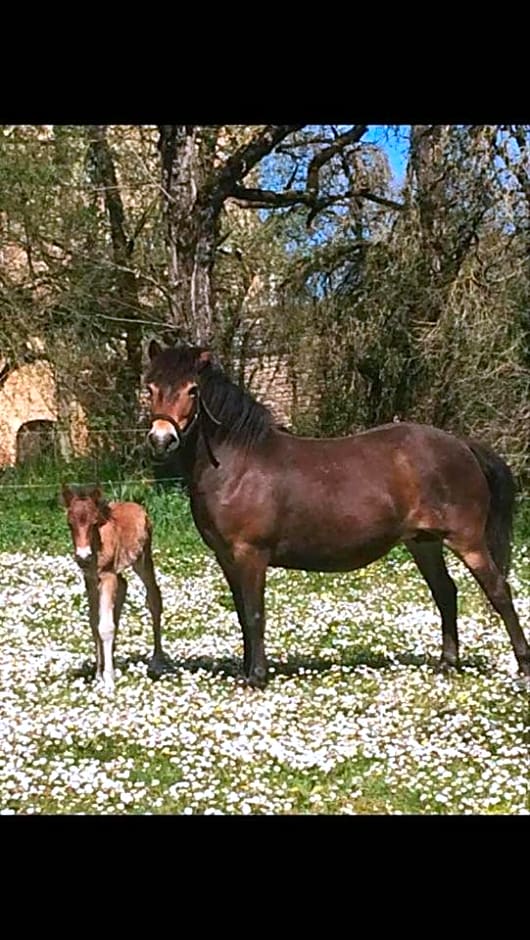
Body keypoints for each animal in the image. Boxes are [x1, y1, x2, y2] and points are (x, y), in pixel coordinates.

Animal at [143, 342, 528, 688]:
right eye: (150, 388)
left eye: (193, 390)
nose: (162, 440)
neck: (237, 464)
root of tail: (463, 445)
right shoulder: (226, 557)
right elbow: (240, 614)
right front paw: (245, 670)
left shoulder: (250, 554)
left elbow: (254, 614)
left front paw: (257, 677)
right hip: (424, 542)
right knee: (446, 593)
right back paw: (448, 664)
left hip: (467, 541)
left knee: (499, 592)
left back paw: (522, 668)